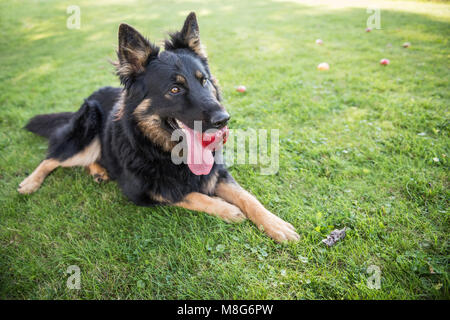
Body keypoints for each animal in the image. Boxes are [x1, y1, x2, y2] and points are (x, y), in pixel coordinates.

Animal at [18, 12, 298, 242]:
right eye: (175, 89)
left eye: (204, 81)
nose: (223, 119)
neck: (164, 151)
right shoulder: (142, 191)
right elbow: (187, 194)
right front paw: (227, 208)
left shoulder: (217, 172)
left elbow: (247, 196)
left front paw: (275, 224)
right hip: (86, 132)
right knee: (53, 157)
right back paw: (30, 183)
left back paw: (99, 171)